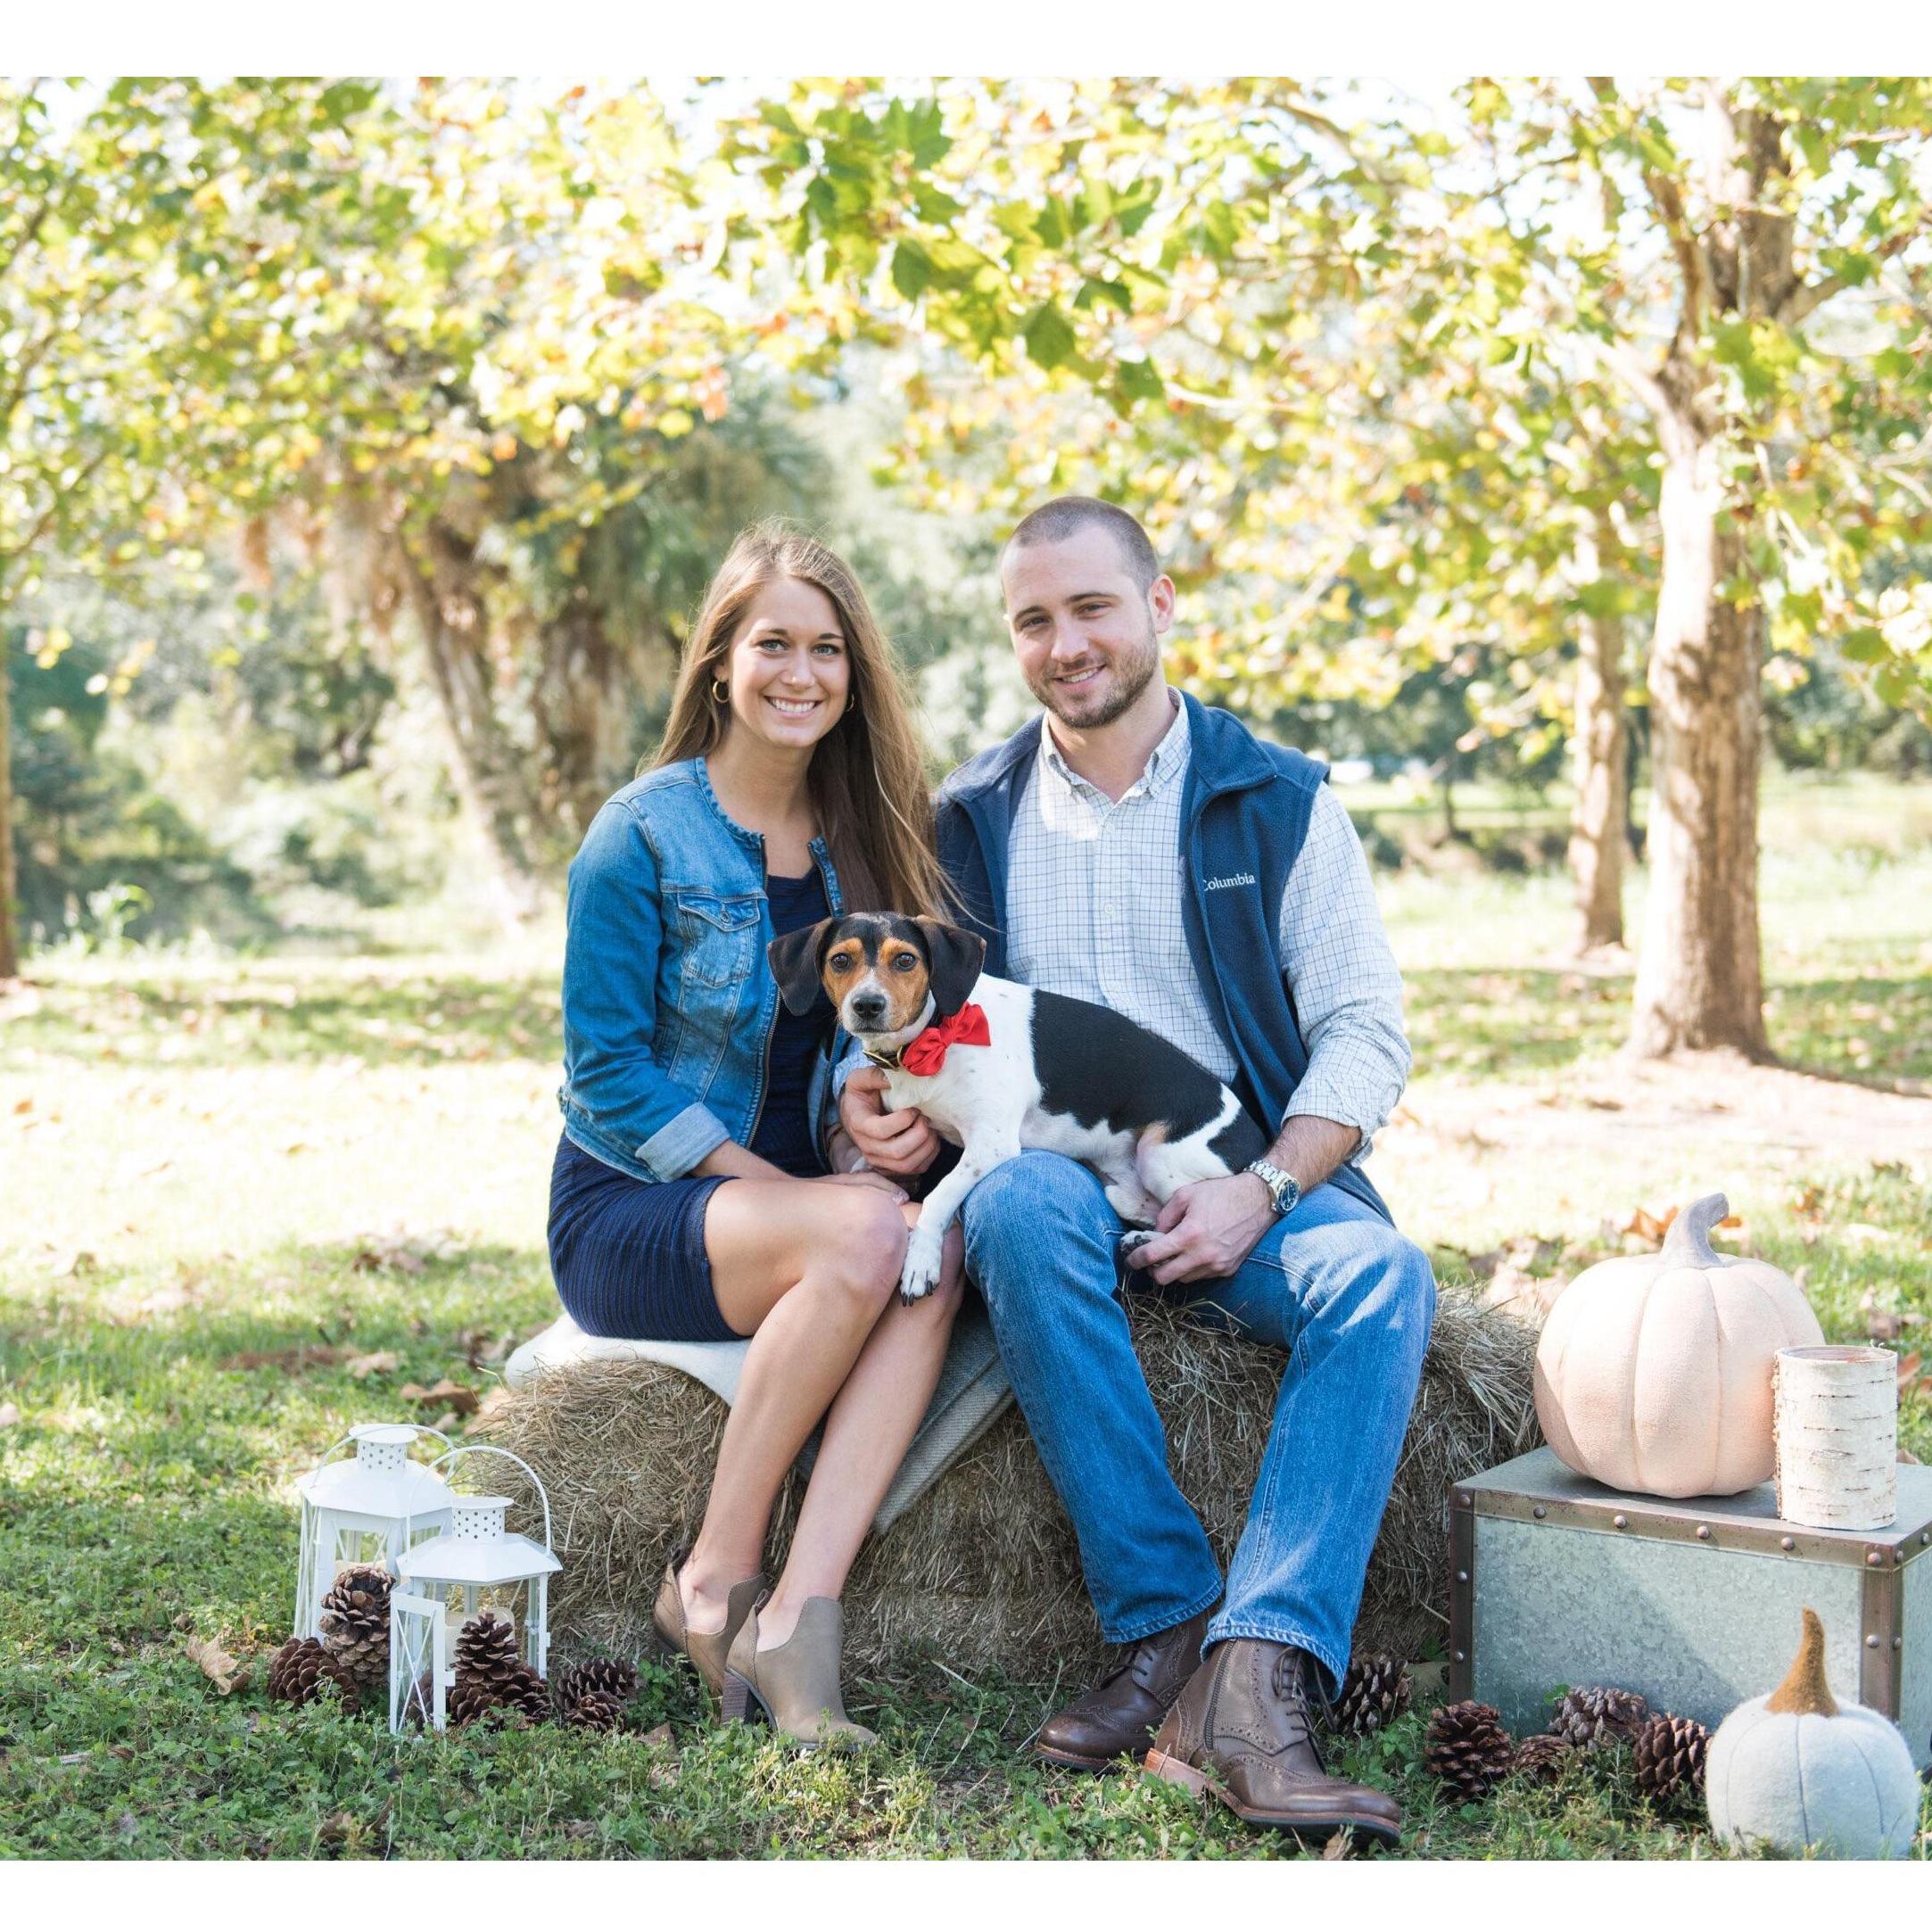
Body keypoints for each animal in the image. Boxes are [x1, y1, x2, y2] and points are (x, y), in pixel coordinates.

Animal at [769, 912, 1266, 1304]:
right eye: (840, 961)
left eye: (905, 960)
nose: (867, 1005)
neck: (935, 1037)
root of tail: (1254, 1136)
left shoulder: (990, 1146)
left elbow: (938, 1195)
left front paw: (921, 1260)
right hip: (1123, 1181)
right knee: (1150, 1210)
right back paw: (1142, 1236)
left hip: (1162, 1157)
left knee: (1189, 1214)